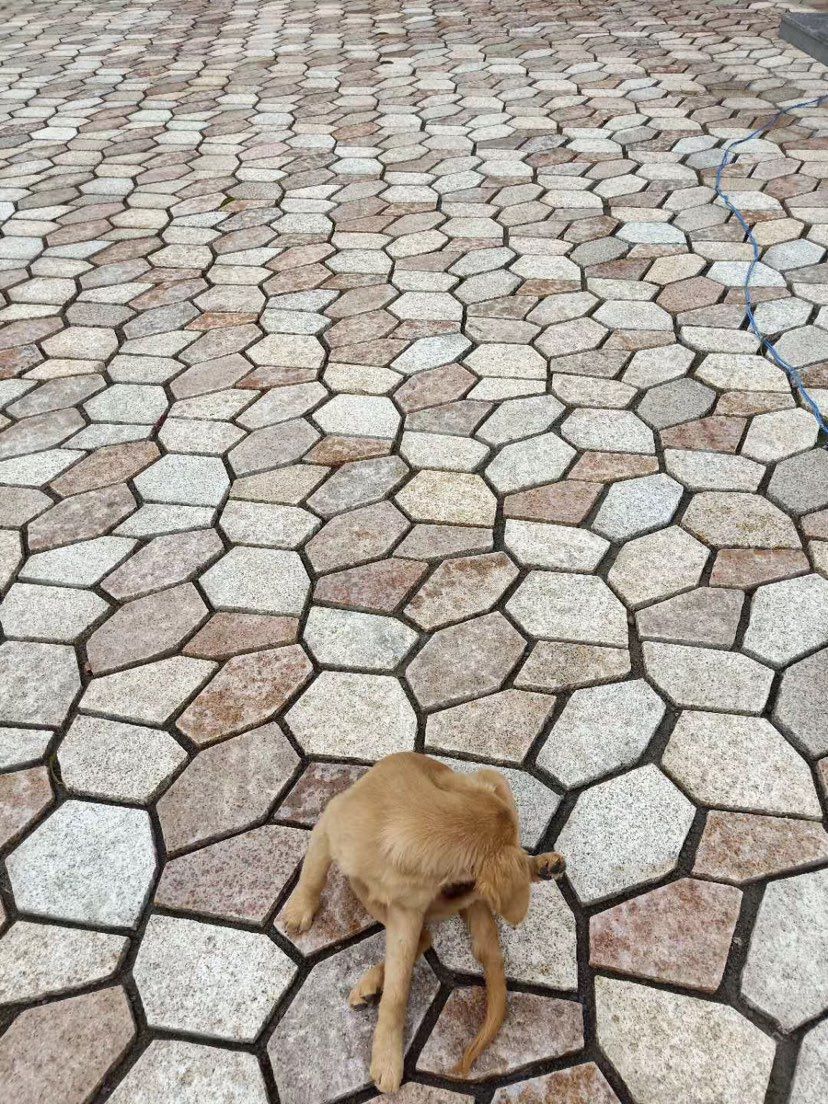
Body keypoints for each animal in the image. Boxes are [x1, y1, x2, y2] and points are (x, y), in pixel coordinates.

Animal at [282, 751, 565, 1093]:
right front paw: (300, 909)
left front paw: (387, 1057)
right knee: (429, 930)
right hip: (366, 891)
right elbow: (312, 875)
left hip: (494, 778)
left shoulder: (407, 915)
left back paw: (543, 865)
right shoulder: (328, 824)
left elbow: (398, 991)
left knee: (429, 934)